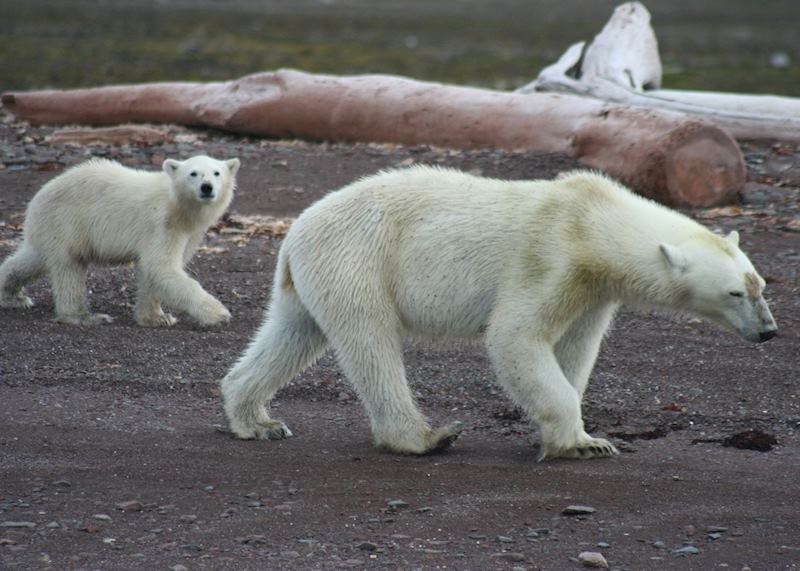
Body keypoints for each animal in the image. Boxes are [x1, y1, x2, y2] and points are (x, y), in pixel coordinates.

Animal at [0, 154, 240, 327]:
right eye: (193, 173)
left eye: (217, 173)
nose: (207, 187)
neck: (178, 205)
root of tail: (36, 198)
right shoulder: (162, 222)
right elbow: (161, 267)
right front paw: (218, 314)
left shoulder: (188, 231)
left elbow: (152, 271)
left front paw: (156, 318)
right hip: (66, 221)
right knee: (70, 267)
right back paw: (84, 316)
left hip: (50, 227)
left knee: (32, 258)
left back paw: (12, 297)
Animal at [220, 166, 778, 460]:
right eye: (735, 293)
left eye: (761, 284)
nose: (770, 330)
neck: (593, 223)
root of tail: (294, 230)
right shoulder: (550, 256)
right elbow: (516, 336)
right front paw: (583, 444)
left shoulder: (593, 289)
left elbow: (576, 349)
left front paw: (575, 434)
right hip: (359, 259)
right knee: (370, 341)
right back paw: (425, 437)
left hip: (312, 277)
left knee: (293, 332)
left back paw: (256, 419)